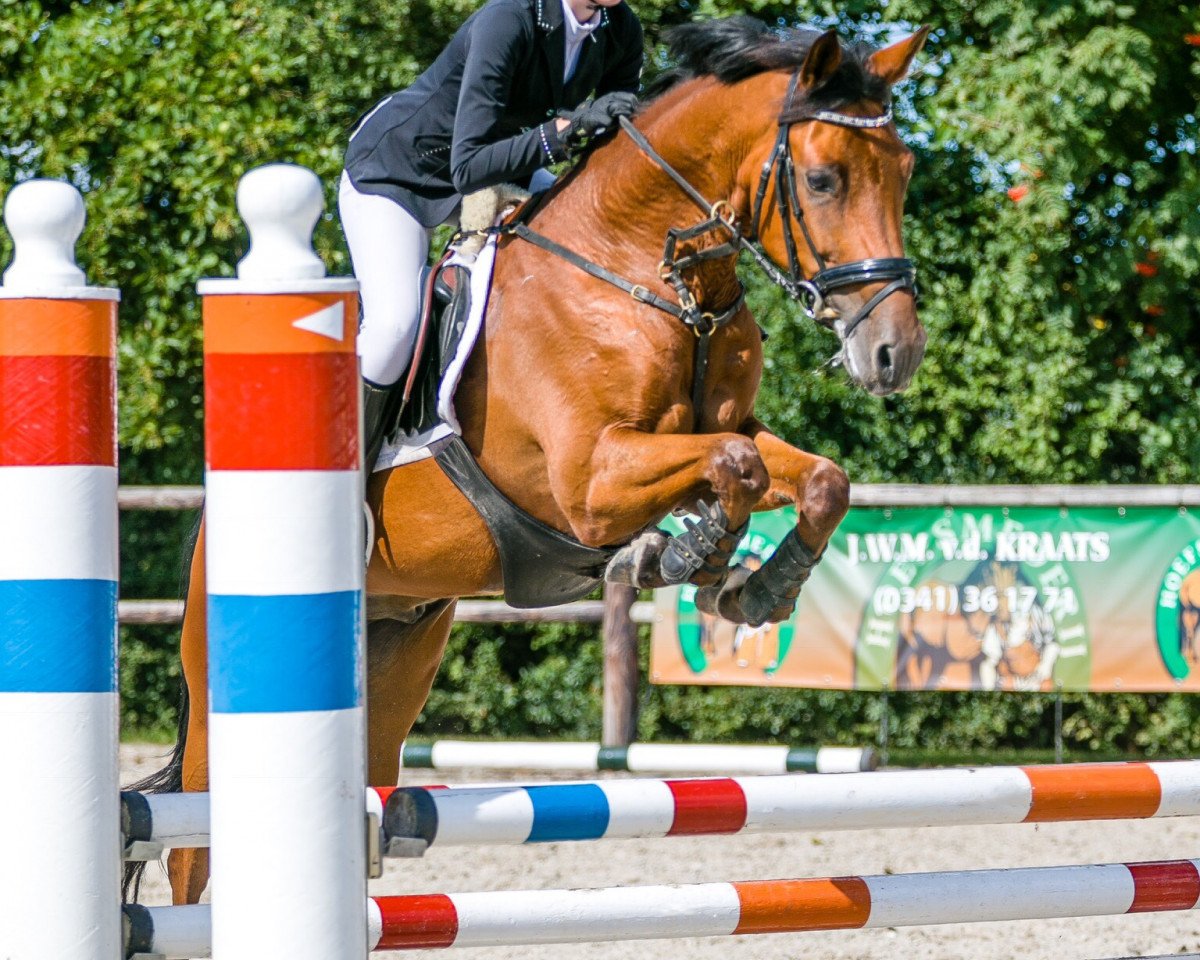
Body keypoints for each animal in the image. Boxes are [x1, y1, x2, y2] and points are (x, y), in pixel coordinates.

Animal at [132, 17, 931, 905]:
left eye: (903, 171)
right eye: (823, 179)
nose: (893, 352)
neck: (644, 272)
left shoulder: (726, 432)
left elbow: (814, 477)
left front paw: (755, 585)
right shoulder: (588, 481)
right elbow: (733, 467)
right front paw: (678, 554)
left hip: (393, 660)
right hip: (222, 688)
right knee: (191, 851)